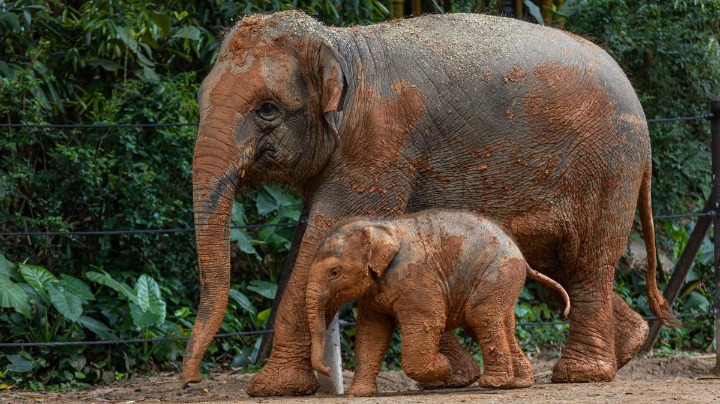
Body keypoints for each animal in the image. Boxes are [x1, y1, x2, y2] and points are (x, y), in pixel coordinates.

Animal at [307, 210, 572, 396]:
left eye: (334, 272)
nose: (328, 370)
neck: (379, 226)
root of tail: (523, 258)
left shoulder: (415, 277)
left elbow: (428, 320)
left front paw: (443, 369)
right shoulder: (373, 293)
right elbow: (372, 332)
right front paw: (359, 395)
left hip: (498, 274)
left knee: (480, 316)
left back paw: (492, 383)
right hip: (503, 282)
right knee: (499, 323)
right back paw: (518, 383)